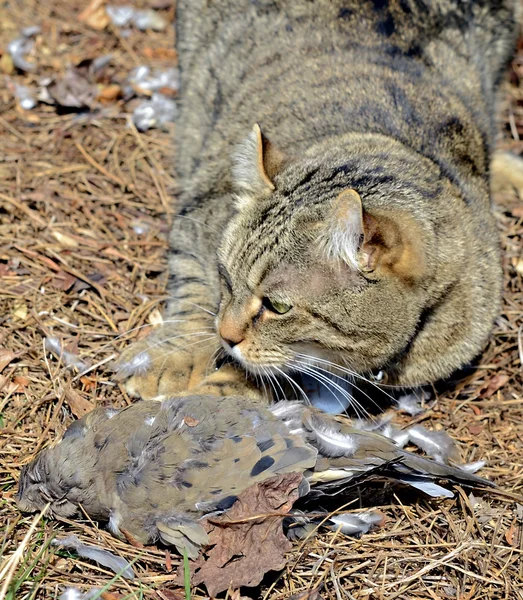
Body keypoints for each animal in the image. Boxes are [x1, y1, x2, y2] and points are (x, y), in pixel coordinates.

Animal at [116, 0, 520, 404]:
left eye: (278, 307)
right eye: (226, 279)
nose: (226, 337)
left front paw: (224, 392)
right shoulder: (199, 215)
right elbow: (193, 290)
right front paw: (172, 357)